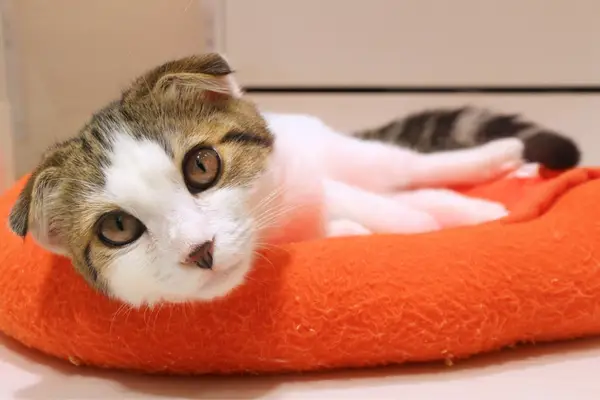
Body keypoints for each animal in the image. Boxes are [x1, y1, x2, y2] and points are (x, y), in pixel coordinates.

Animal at [7, 54, 580, 308]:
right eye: (118, 228)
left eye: (201, 166)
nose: (200, 249)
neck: (275, 233)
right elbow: (360, 219)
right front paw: (358, 232)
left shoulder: (305, 177)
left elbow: (386, 205)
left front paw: (432, 219)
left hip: (339, 152)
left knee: (401, 168)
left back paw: (496, 168)